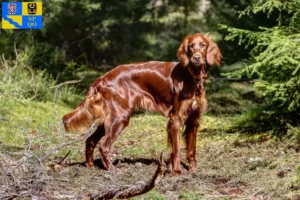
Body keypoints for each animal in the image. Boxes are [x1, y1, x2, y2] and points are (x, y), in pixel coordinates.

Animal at [62, 32, 221, 173]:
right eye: (191, 47)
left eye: (203, 45)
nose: (196, 58)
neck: (192, 77)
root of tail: (103, 78)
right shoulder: (175, 118)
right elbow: (176, 150)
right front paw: (176, 171)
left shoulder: (194, 119)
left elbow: (192, 149)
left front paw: (193, 170)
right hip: (120, 117)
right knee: (104, 146)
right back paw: (112, 170)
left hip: (110, 118)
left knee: (90, 140)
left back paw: (90, 165)